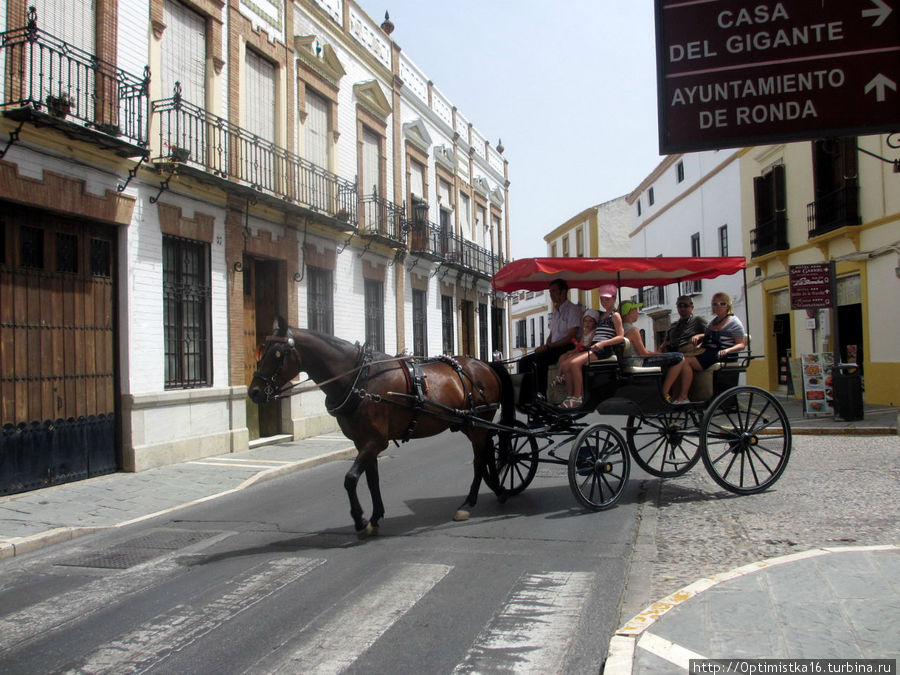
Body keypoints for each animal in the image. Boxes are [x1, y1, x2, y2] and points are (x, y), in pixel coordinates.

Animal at [248, 318, 506, 540]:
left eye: (277, 353)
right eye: (262, 349)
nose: (254, 392)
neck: (359, 379)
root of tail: (484, 365)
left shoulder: (375, 441)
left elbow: (350, 479)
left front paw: (360, 521)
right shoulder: (363, 442)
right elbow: (372, 479)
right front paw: (375, 516)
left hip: (478, 424)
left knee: (478, 460)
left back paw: (469, 502)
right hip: (468, 424)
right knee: (487, 452)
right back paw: (498, 488)